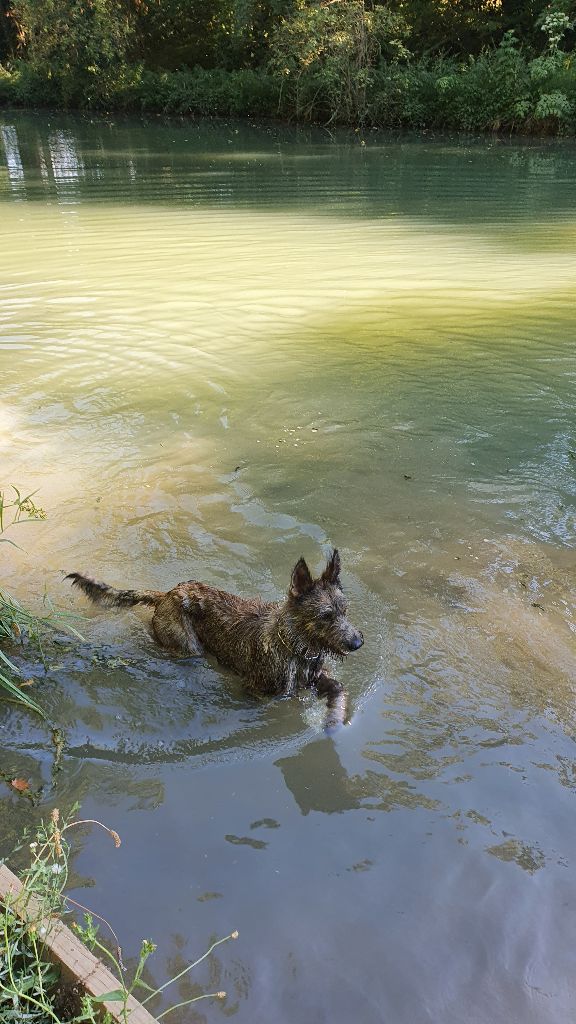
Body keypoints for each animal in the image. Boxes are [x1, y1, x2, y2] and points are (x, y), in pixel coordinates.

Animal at [67, 552, 360, 729]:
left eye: (345, 610)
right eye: (326, 615)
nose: (357, 642)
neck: (295, 646)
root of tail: (166, 595)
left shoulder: (317, 675)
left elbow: (338, 687)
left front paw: (335, 718)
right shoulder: (259, 692)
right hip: (187, 645)